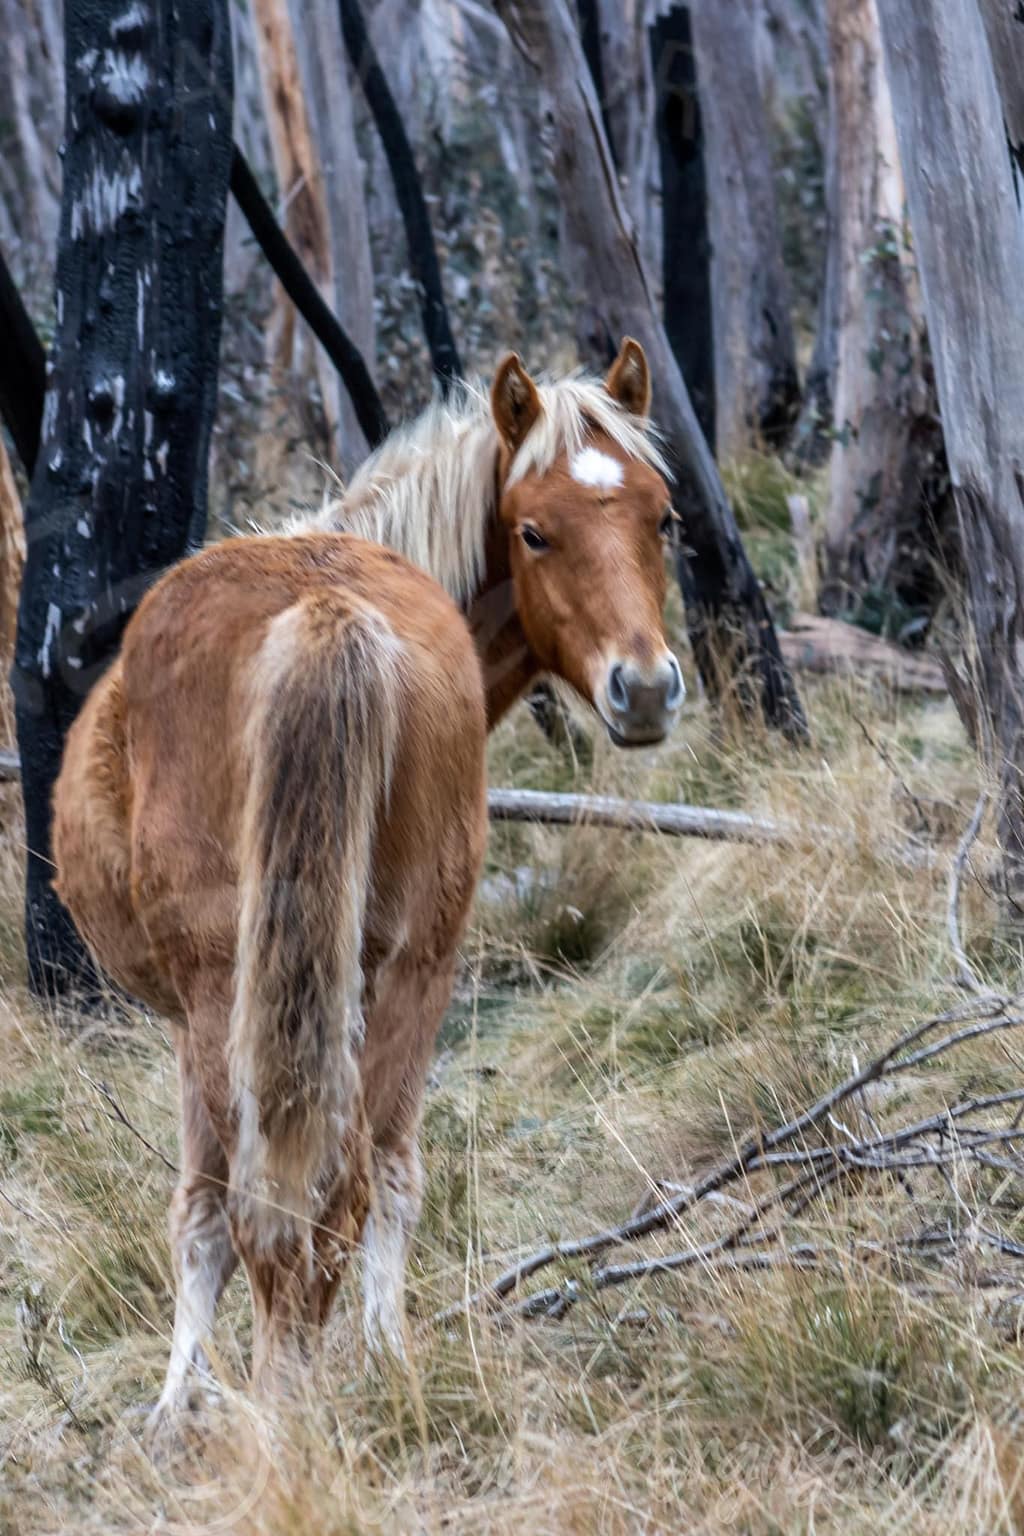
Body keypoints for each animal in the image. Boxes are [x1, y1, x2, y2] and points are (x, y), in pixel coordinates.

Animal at [51, 338, 681, 1428]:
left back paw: (285, 1406)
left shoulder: (194, 1023)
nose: (642, 690)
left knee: (299, 1199)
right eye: (535, 531)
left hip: (245, 997)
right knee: (359, 1181)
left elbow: (200, 1215)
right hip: (406, 969)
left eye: (661, 518)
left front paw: (179, 1405)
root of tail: (327, 609)